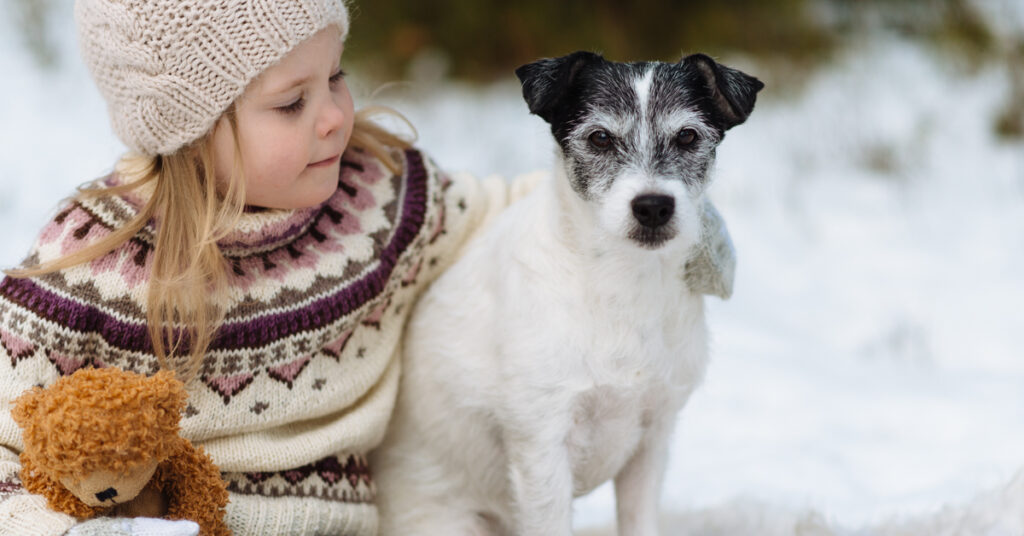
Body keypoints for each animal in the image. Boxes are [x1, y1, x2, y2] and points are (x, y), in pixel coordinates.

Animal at [372, 51, 765, 536]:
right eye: (599, 137)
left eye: (688, 135)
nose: (653, 206)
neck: (622, 284)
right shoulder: (542, 442)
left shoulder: (652, 439)